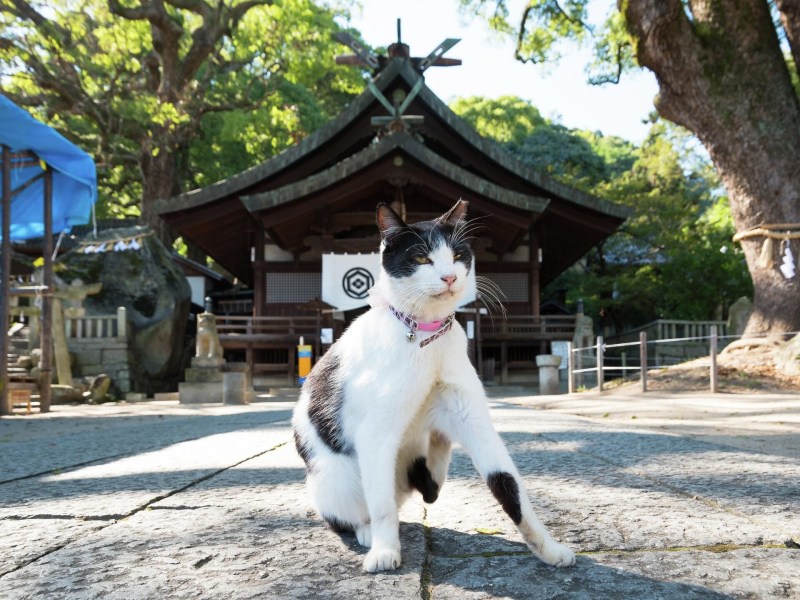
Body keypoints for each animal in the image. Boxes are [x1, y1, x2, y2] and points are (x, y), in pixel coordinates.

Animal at [292, 200, 576, 572]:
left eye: (456, 255)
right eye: (422, 258)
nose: (450, 276)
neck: (427, 337)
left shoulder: (472, 416)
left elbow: (508, 484)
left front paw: (548, 547)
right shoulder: (375, 433)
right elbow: (381, 505)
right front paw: (385, 550)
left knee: (429, 483)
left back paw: (438, 445)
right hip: (334, 478)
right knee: (354, 511)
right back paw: (367, 531)